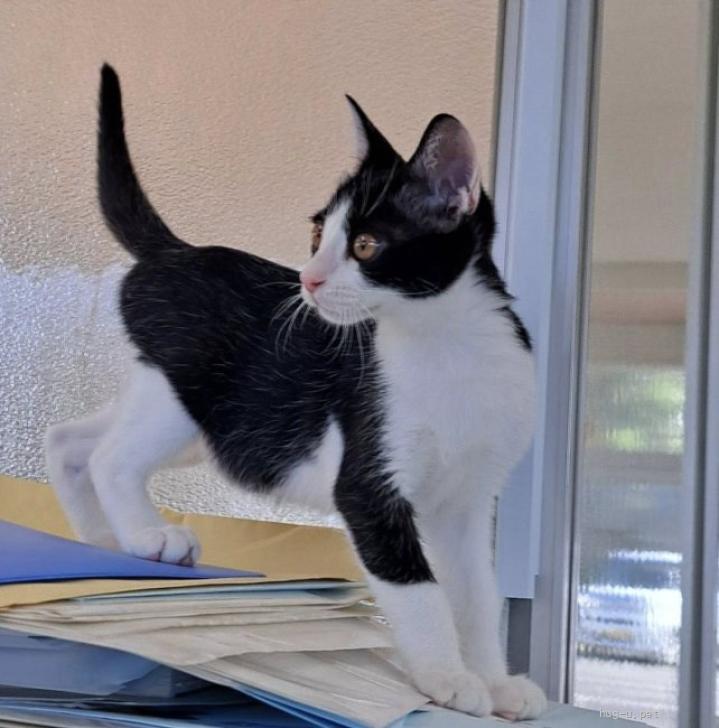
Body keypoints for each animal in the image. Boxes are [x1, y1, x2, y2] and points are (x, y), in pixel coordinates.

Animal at [45, 64, 546, 721]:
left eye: (364, 245)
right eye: (316, 235)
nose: (308, 280)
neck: (450, 345)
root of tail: (177, 251)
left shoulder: (466, 500)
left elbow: (477, 596)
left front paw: (494, 679)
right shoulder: (369, 486)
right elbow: (419, 589)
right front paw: (447, 677)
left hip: (202, 414)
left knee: (69, 440)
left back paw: (105, 543)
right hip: (185, 395)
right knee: (110, 457)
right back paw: (147, 535)